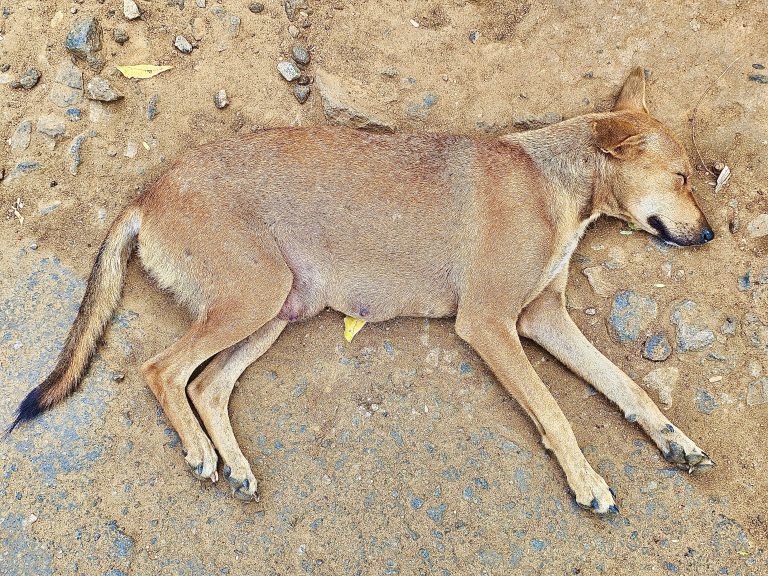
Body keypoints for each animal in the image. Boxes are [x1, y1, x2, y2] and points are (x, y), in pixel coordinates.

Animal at [9, 66, 712, 512]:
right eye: (680, 176)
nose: (707, 233)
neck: (554, 184)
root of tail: (148, 193)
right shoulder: (491, 324)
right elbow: (555, 410)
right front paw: (586, 480)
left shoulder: (543, 318)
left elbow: (627, 385)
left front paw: (673, 439)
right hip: (255, 296)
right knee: (161, 369)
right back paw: (202, 453)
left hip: (275, 309)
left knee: (206, 384)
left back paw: (235, 465)